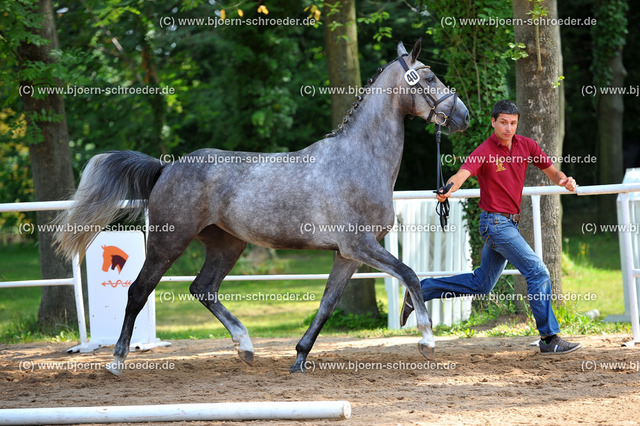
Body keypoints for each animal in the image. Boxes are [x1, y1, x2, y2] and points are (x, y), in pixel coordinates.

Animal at [55, 39, 470, 372]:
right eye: (429, 77)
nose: (463, 116)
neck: (359, 161)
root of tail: (166, 167)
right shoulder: (360, 245)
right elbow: (410, 274)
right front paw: (426, 340)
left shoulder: (348, 254)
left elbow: (328, 304)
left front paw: (299, 357)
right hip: (167, 242)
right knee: (138, 292)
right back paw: (117, 360)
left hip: (226, 244)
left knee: (203, 289)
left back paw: (246, 347)